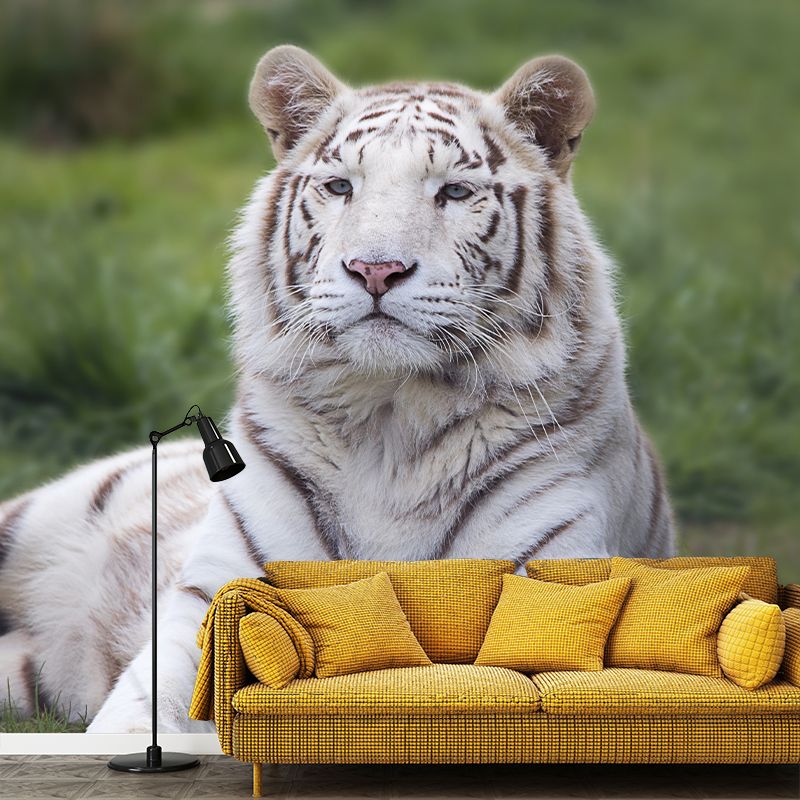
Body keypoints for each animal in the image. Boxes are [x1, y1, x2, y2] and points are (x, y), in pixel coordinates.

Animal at [0, 44, 674, 733]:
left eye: (455, 191)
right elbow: (146, 708)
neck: (390, 420)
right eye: (341, 186)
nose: (375, 269)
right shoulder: (211, 596)